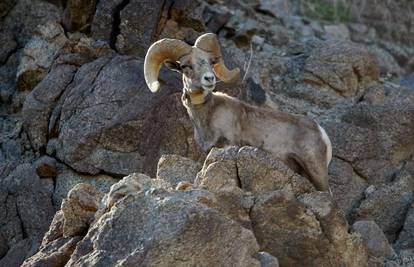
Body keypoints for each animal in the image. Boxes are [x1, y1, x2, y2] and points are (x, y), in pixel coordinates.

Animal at [144, 33, 332, 192]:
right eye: (185, 66)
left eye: (211, 62)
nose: (209, 79)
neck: (208, 115)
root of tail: (321, 132)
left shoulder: (228, 145)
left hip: (315, 169)